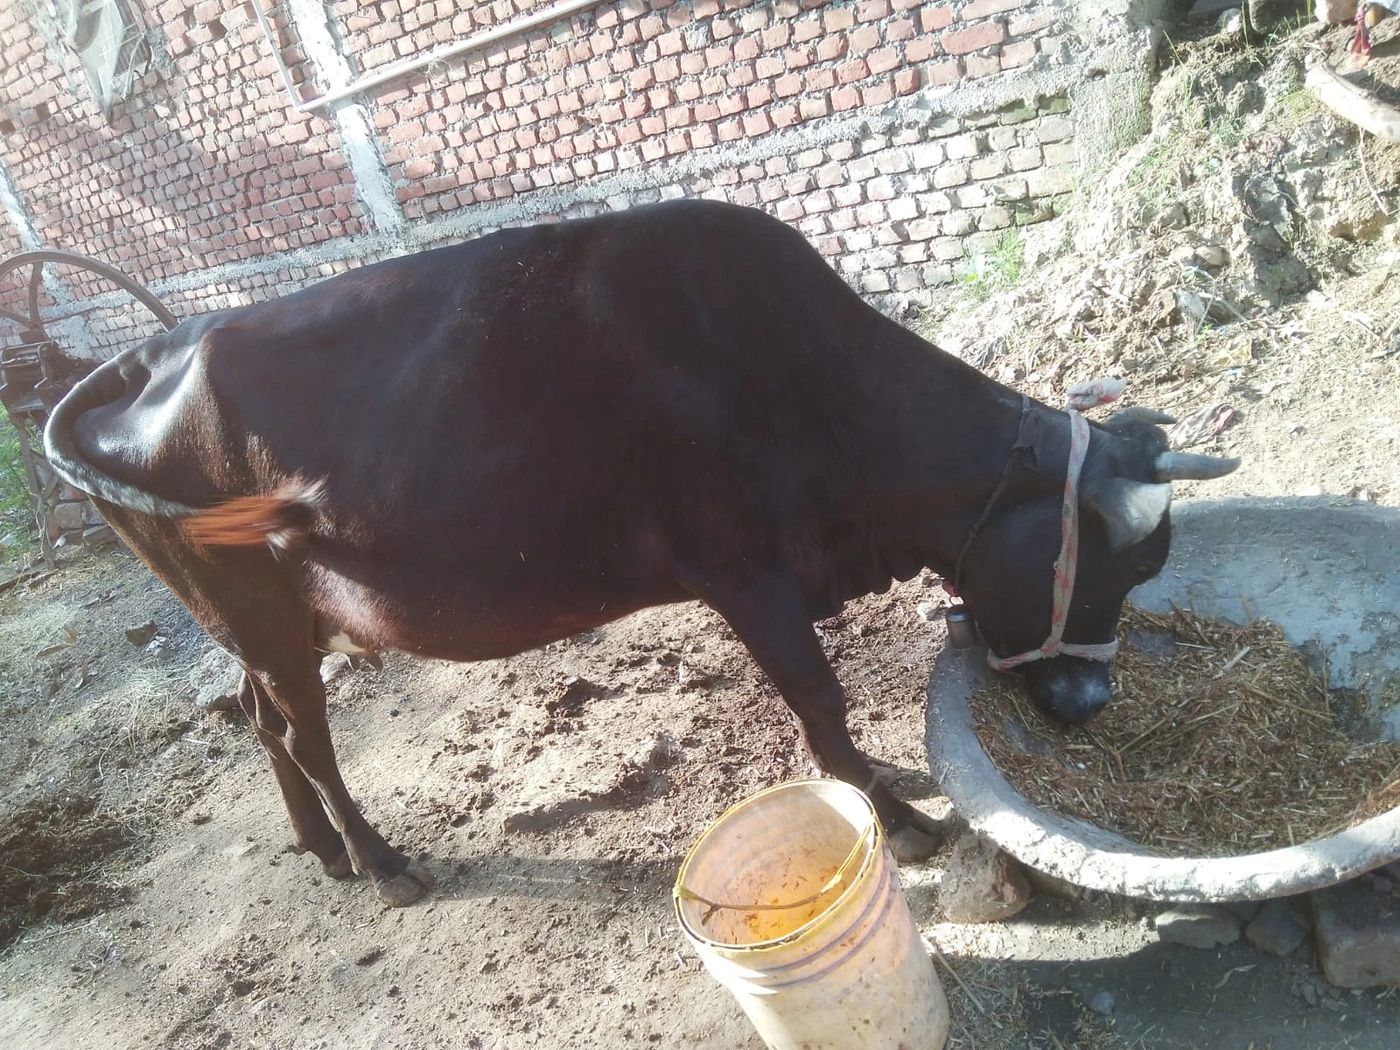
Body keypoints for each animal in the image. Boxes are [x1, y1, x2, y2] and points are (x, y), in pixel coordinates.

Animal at [43, 201, 1238, 905]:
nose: (1090, 703)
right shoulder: (745, 573)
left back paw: (322, 849)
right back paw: (379, 865)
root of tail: (144, 351)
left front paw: (888, 788)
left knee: (261, 718)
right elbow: (820, 702)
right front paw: (898, 823)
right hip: (258, 610)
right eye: (1118, 563)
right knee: (300, 727)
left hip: (255, 621)